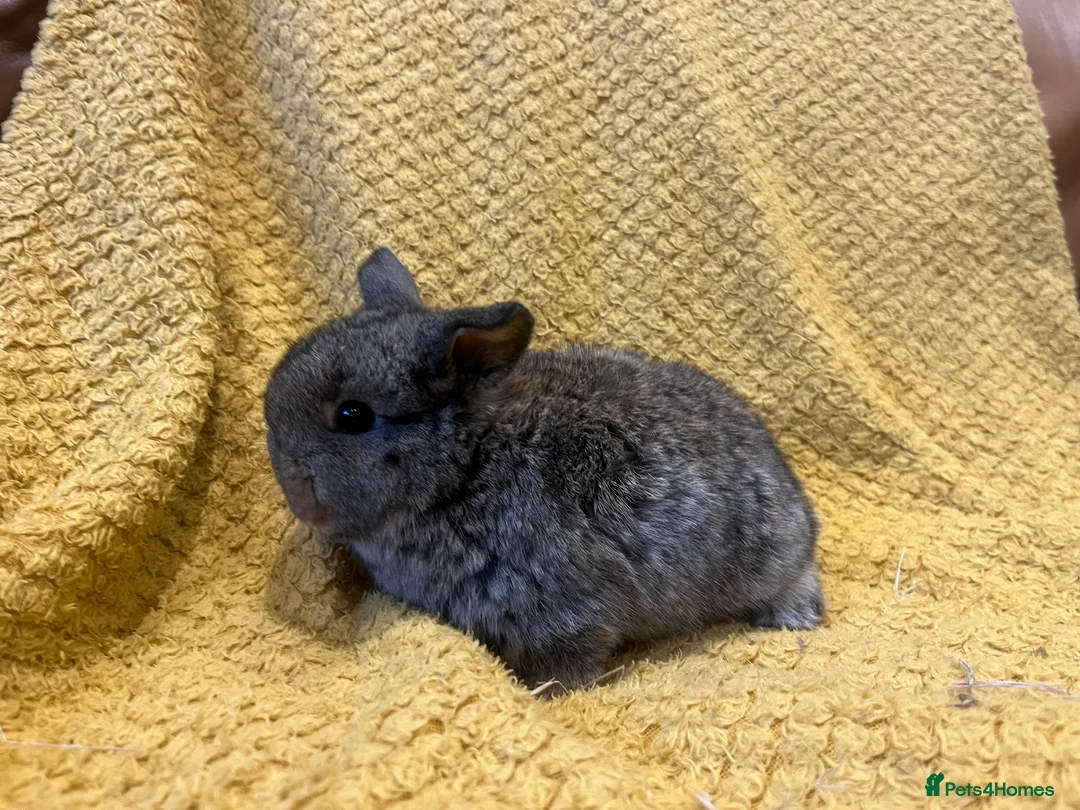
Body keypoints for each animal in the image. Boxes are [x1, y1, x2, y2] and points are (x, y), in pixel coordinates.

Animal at [264, 247, 825, 696]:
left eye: (352, 415)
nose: (291, 491)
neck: (466, 470)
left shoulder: (563, 612)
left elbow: (567, 659)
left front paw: (540, 693)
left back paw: (794, 616)